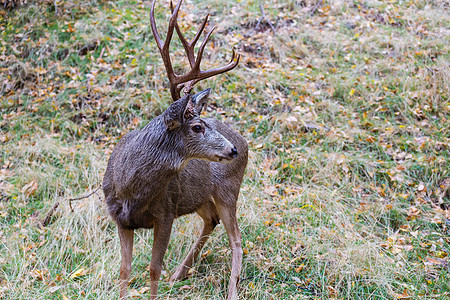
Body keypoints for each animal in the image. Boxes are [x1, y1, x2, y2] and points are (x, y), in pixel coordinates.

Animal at [102, 1, 248, 298]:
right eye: (197, 127)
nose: (233, 150)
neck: (131, 188)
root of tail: (245, 140)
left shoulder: (166, 212)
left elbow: (153, 270)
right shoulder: (120, 219)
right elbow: (124, 272)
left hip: (228, 189)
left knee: (237, 240)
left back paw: (231, 291)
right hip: (199, 197)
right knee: (212, 219)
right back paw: (179, 273)